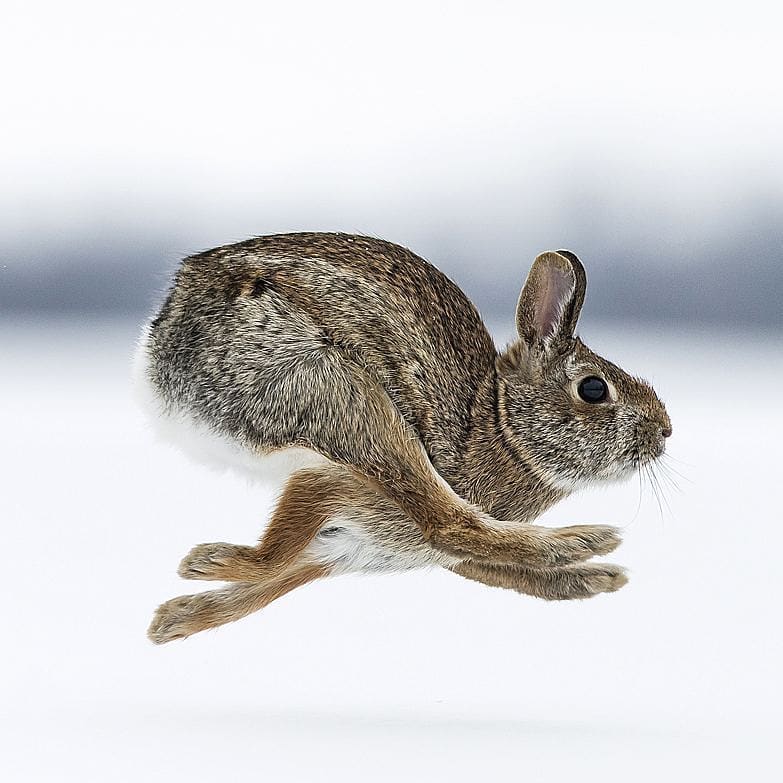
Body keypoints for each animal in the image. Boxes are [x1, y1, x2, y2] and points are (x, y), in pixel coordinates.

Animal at [138, 233, 672, 644]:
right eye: (593, 389)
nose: (664, 432)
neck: (498, 423)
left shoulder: (346, 548)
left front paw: (174, 618)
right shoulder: (331, 484)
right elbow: (280, 553)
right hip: (338, 393)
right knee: (448, 521)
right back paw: (586, 540)